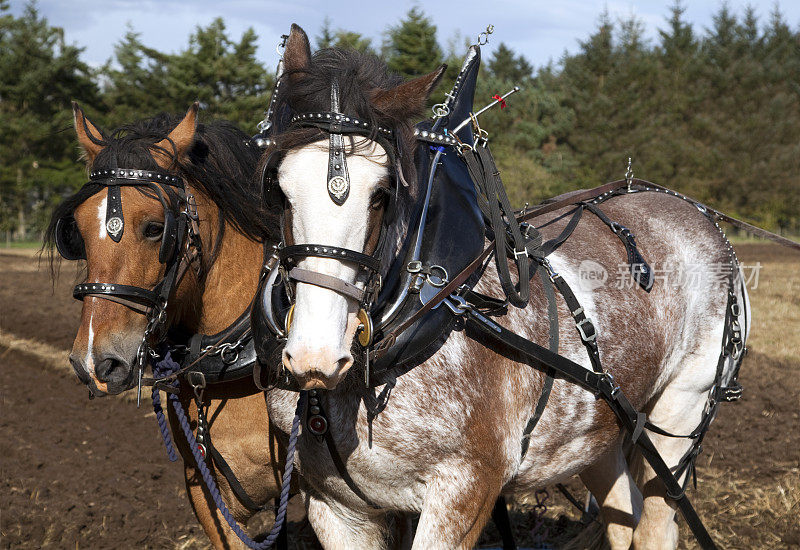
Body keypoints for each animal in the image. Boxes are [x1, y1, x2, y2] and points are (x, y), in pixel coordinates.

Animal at [258, 27, 752, 550]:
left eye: (382, 194)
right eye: (278, 188)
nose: (314, 356)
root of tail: (697, 213)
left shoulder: (466, 488)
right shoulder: (334, 506)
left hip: (681, 410)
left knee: (657, 520)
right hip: (596, 430)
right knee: (623, 513)